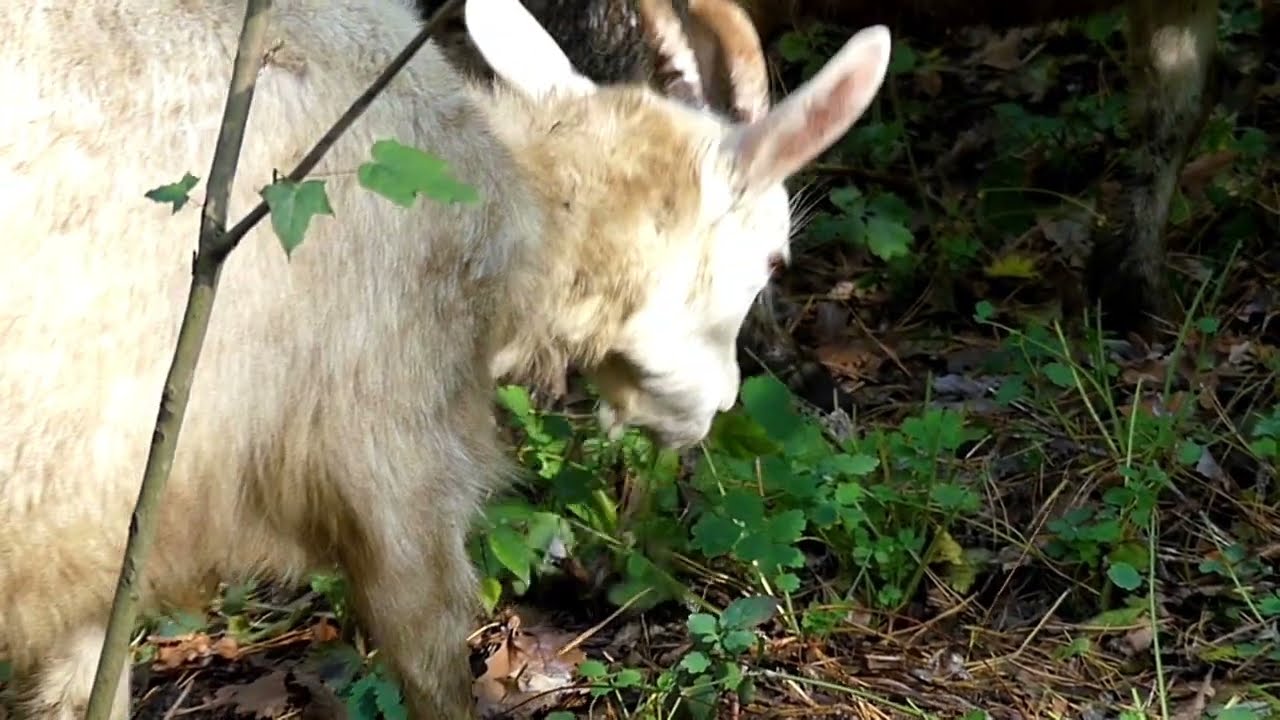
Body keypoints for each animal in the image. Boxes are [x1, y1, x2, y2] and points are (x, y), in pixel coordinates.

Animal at [0, 0, 892, 717]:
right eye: (773, 260)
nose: (717, 406)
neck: (525, 206)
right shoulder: (391, 441)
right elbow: (430, 657)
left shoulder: (96, 512)